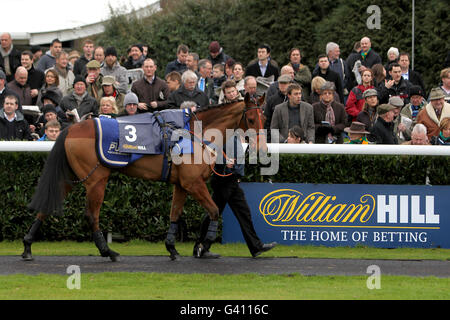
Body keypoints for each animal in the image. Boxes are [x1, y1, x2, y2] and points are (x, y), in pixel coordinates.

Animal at [22, 94, 268, 262]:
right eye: (251, 119)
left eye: (264, 116)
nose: (263, 147)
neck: (194, 132)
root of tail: (71, 129)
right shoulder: (194, 184)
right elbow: (215, 210)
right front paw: (202, 246)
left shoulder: (182, 184)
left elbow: (175, 214)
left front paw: (172, 248)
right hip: (96, 180)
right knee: (91, 215)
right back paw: (108, 251)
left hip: (71, 177)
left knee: (46, 206)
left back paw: (27, 247)